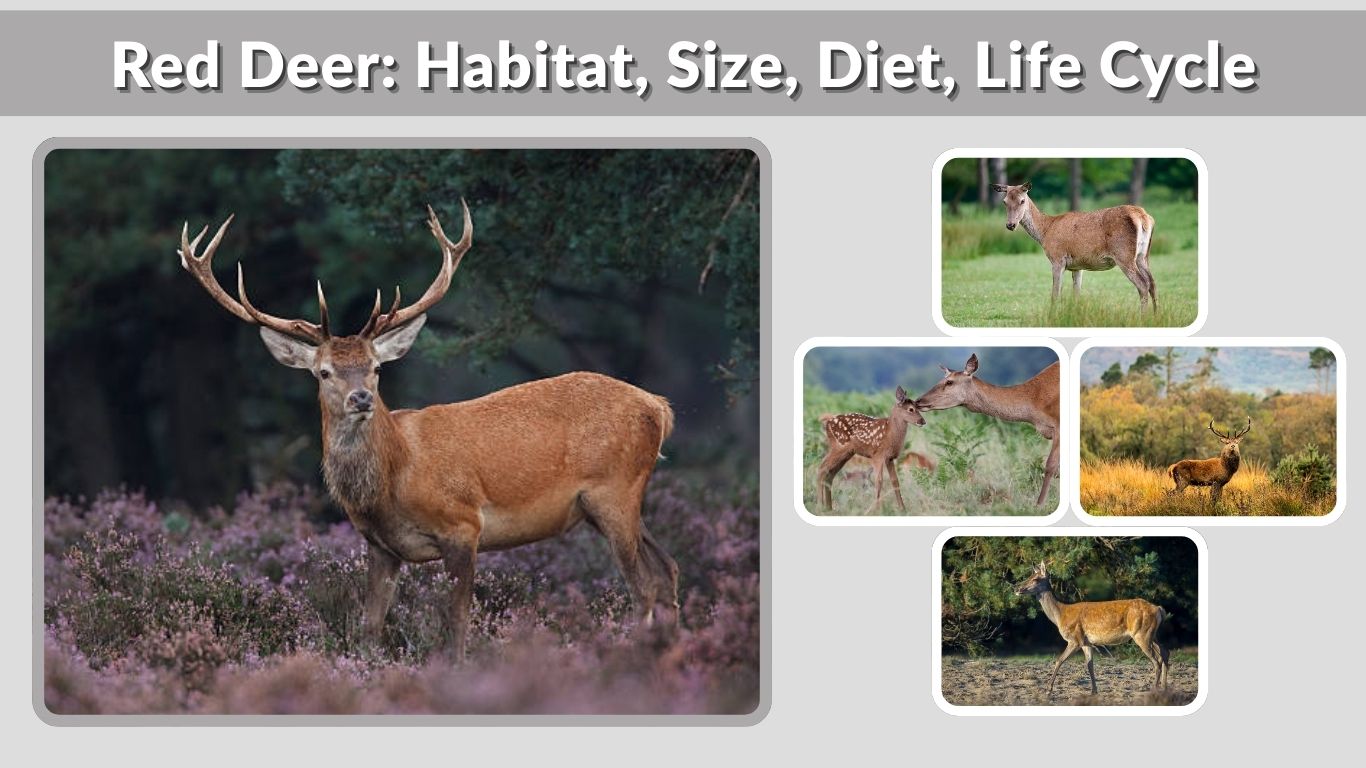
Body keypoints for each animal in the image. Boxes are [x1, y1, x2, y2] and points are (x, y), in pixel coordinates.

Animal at [176, 202, 679, 661]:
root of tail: (659, 407)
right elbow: (369, 626)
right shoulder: (380, 546)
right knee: (667, 570)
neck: (392, 480)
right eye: (323, 372)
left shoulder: (463, 525)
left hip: (614, 490)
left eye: (376, 367)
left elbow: (455, 621)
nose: (361, 398)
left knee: (643, 587)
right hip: (613, 502)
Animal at [991, 181, 1158, 311]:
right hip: (1143, 255)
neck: (1045, 232)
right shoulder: (1078, 266)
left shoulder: (1057, 258)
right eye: (1004, 201)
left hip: (1124, 255)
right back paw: (1156, 316)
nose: (1010, 225)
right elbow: (1076, 295)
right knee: (1152, 283)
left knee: (1143, 285)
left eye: (1022, 200)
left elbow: (1055, 295)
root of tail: (1143, 217)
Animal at [1013, 561, 1169, 697]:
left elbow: (1059, 660)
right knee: (1165, 653)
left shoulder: (1075, 639)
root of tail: (1159, 609)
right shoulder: (1087, 643)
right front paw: (1094, 691)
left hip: (1142, 634)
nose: (1016, 589)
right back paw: (1164, 688)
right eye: (1028, 576)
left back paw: (1154, 690)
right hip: (1152, 634)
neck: (1061, 615)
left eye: (1035, 579)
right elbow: (1090, 666)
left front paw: (1048, 690)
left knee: (1157, 660)